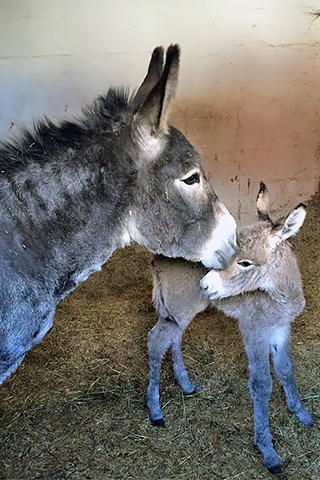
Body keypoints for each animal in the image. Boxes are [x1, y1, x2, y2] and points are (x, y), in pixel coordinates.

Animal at [149, 183, 314, 472]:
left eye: (245, 262)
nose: (204, 284)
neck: (279, 294)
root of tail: (159, 257)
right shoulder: (254, 330)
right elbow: (262, 384)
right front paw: (268, 452)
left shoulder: (281, 328)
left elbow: (286, 369)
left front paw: (300, 412)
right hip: (181, 307)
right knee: (156, 342)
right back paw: (155, 411)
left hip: (181, 311)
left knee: (173, 338)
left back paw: (186, 385)